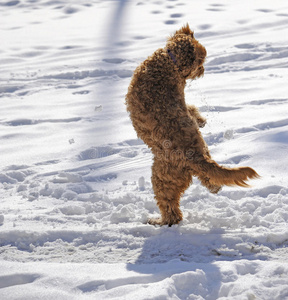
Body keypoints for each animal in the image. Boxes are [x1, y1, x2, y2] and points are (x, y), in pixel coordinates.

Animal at [125, 24, 260, 225]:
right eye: (200, 61)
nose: (203, 70)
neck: (170, 62)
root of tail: (197, 157)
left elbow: (191, 107)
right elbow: (191, 110)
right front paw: (201, 121)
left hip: (161, 178)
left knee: (171, 210)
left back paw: (158, 221)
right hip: (200, 162)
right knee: (210, 179)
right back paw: (214, 188)